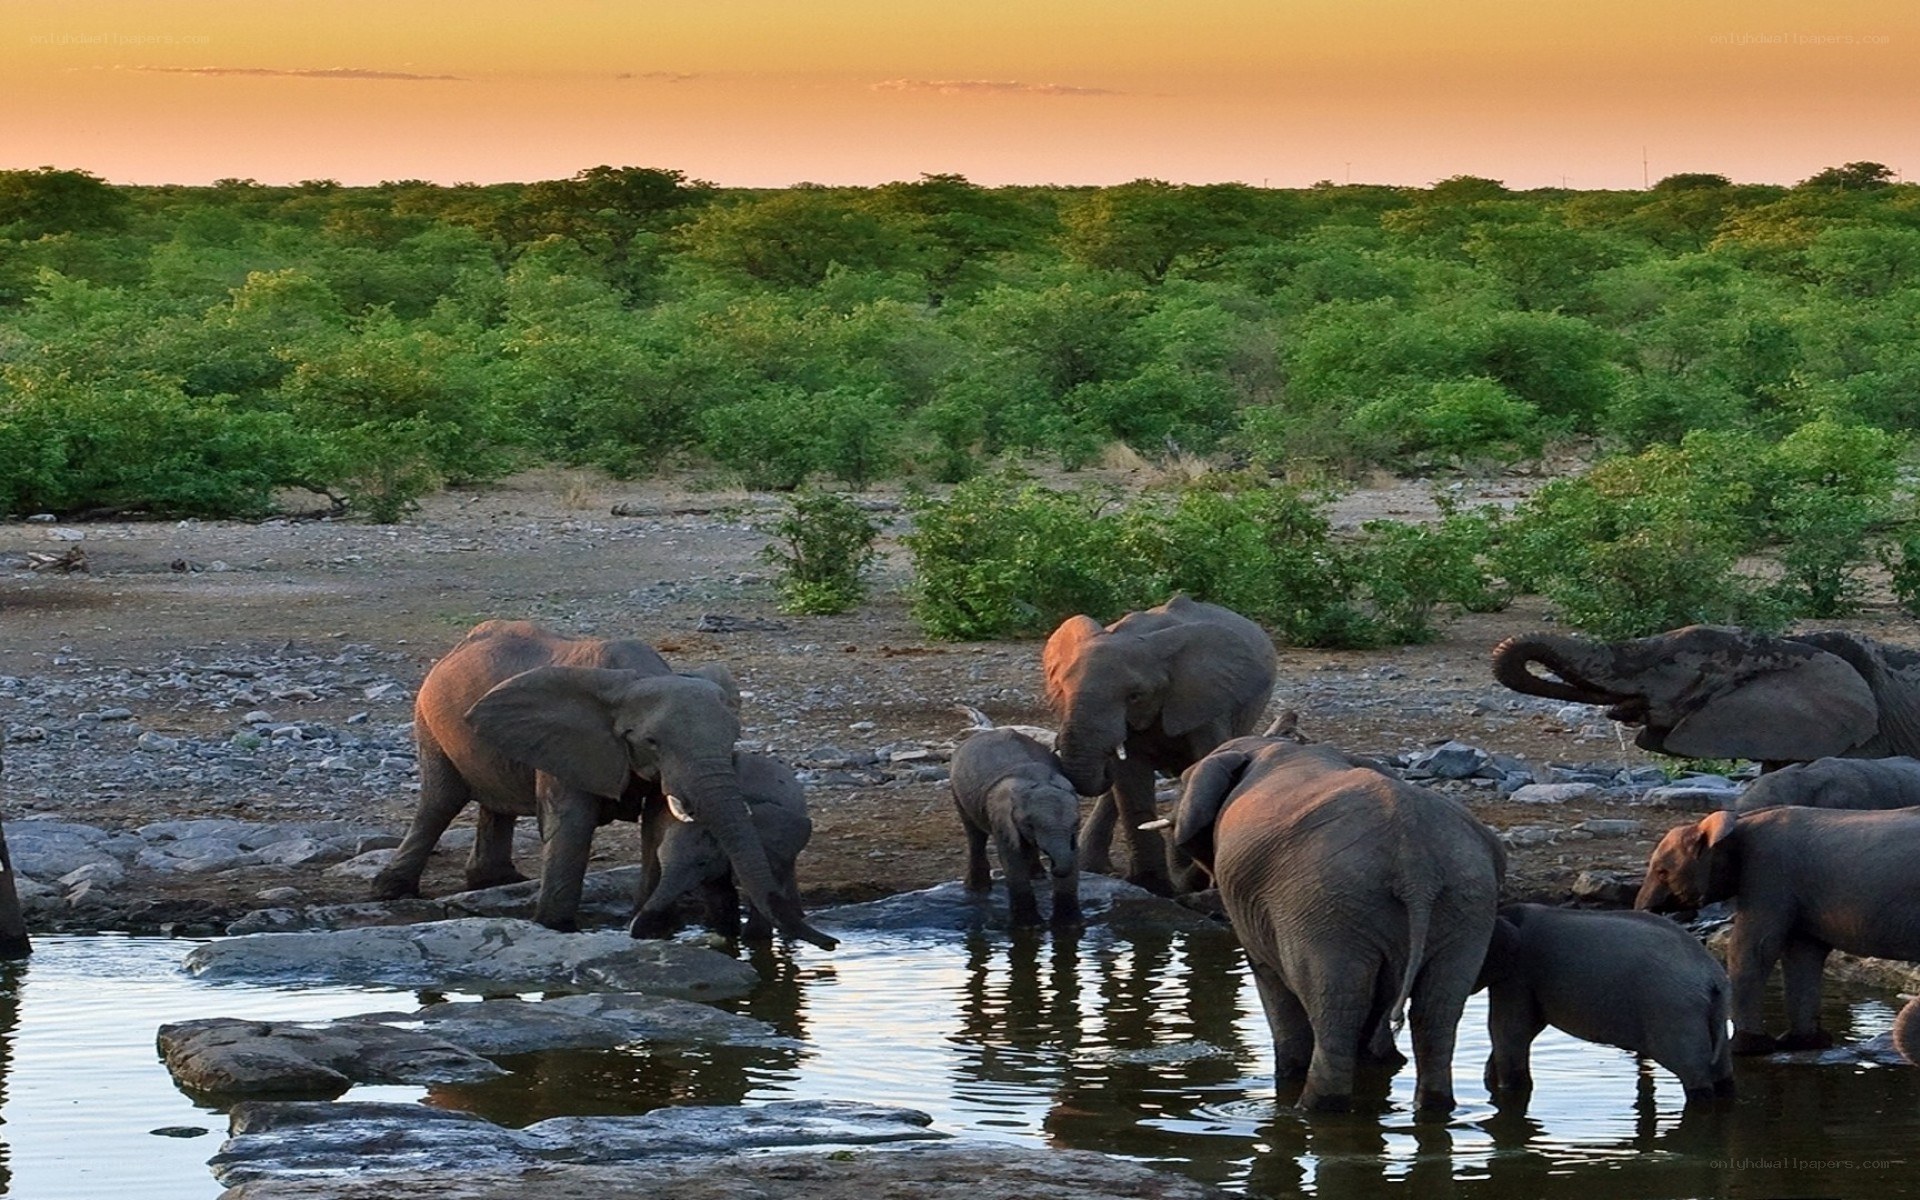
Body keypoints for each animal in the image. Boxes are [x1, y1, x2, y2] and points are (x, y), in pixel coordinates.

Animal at [949, 728, 1082, 928]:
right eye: (1029, 825)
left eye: (1076, 823)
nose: (1054, 866)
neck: (1038, 779)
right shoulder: (1001, 817)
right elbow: (1013, 857)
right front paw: (1029, 926)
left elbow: (1073, 855)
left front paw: (1069, 926)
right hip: (957, 790)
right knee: (975, 834)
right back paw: (977, 889)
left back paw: (1038, 876)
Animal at [1045, 595, 1277, 895]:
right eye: (1062, 689)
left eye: (1135, 696)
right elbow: (1130, 780)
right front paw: (1151, 886)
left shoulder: (1209, 702)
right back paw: (1094, 868)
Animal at [1171, 736, 1506, 1114]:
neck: (1265, 745)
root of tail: (1415, 864)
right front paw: (1379, 1063)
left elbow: (1269, 979)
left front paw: (1290, 1072)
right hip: (1467, 903)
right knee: (1437, 1012)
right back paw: (1434, 1108)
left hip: (1326, 910)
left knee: (1339, 1013)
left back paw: (1312, 1110)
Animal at [1475, 903, 1734, 1105]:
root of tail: (1712, 977)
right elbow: (1527, 1028)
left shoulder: (1518, 974)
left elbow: (1509, 1030)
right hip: (1708, 1012)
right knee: (1722, 1074)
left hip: (1675, 1010)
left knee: (1694, 1076)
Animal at [1636, 805, 1920, 1053]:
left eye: (1662, 872)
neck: (1738, 821)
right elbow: (1802, 953)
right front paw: (1804, 1043)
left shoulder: (1767, 873)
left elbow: (1754, 948)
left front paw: (1747, 1047)